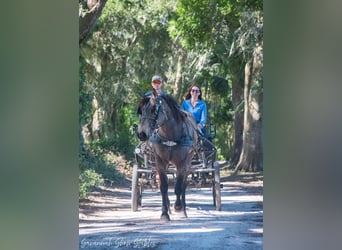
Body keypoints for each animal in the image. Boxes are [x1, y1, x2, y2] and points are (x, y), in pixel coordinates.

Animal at [136, 91, 198, 221]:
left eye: (153, 109)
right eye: (141, 111)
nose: (141, 134)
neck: (170, 135)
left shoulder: (182, 163)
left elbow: (179, 186)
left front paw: (178, 207)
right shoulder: (160, 161)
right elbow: (163, 186)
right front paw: (164, 213)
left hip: (188, 162)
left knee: (184, 184)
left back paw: (183, 209)